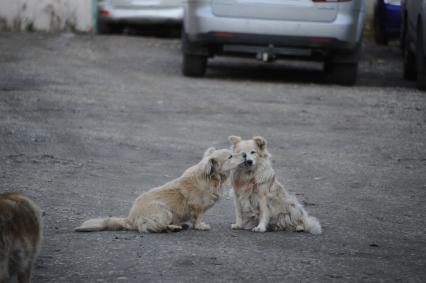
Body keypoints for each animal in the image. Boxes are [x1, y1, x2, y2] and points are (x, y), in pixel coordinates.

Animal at [75, 148, 245, 234]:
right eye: (230, 156)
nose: (244, 154)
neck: (211, 178)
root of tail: (130, 219)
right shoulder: (197, 207)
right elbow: (197, 218)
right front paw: (200, 226)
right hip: (164, 211)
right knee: (155, 228)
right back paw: (174, 227)